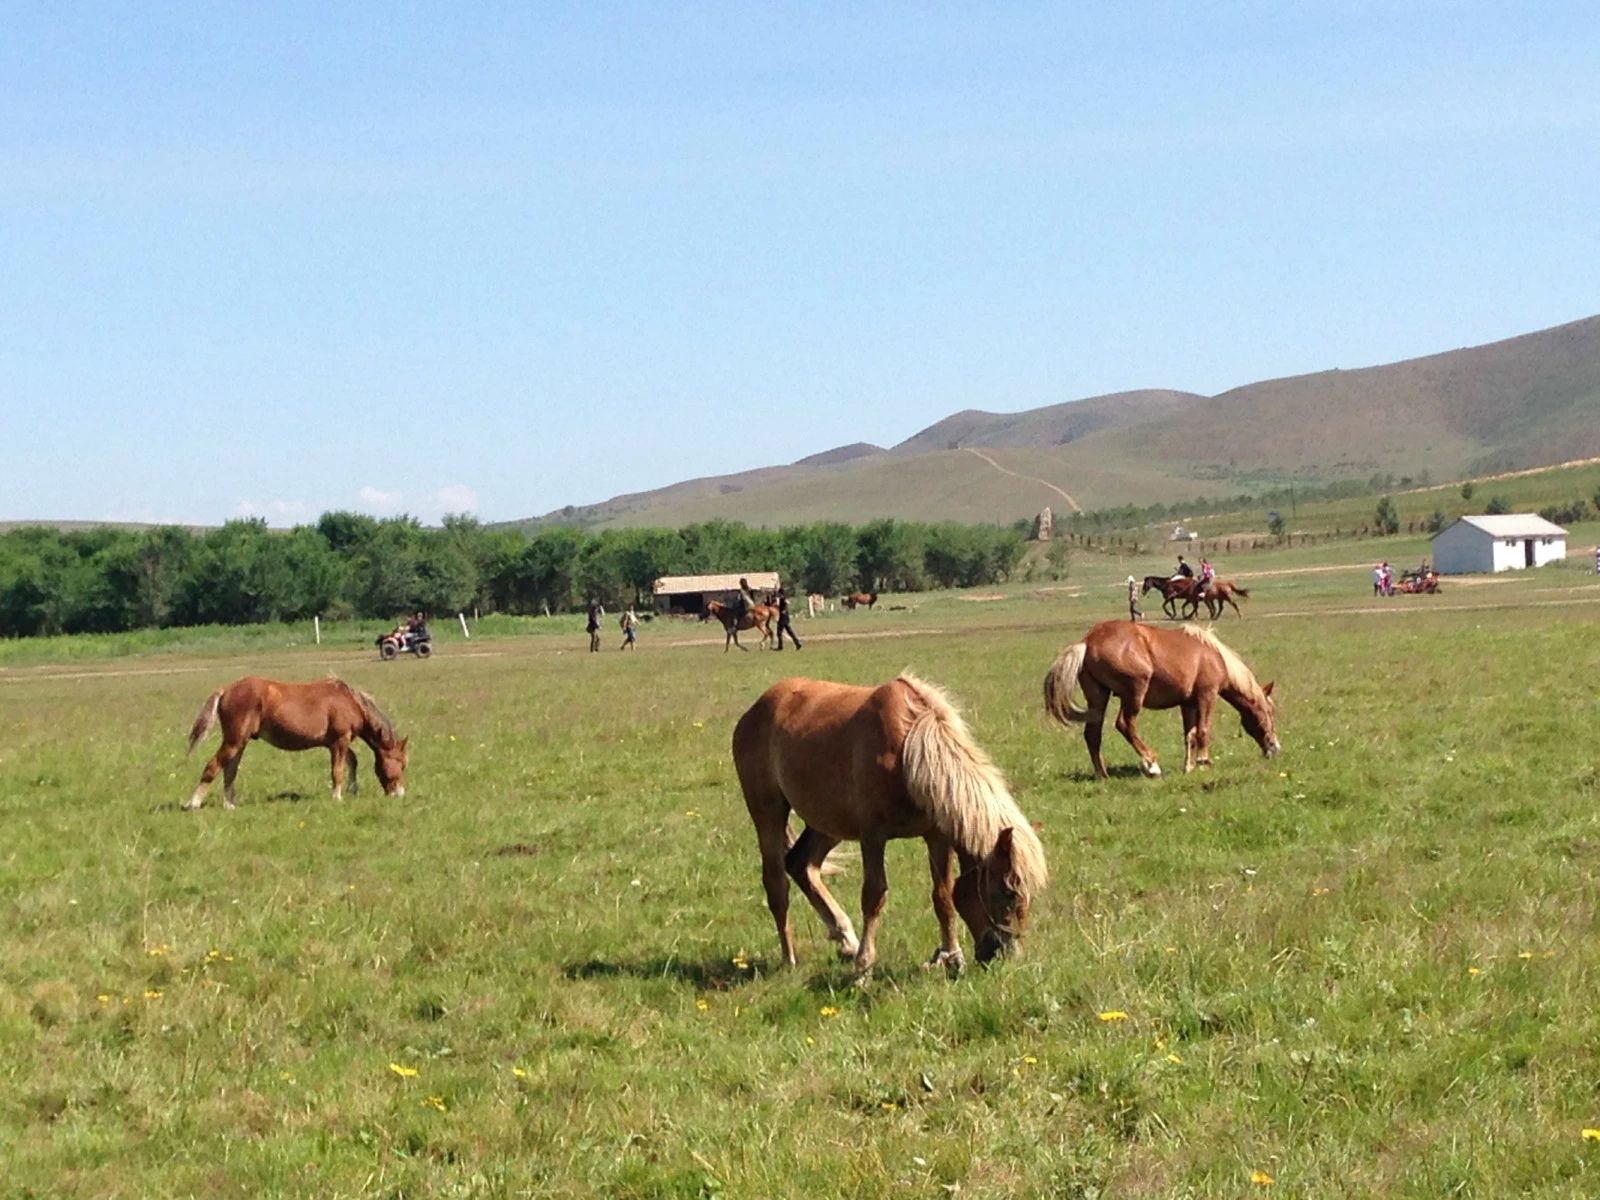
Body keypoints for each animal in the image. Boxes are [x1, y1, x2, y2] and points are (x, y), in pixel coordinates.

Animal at [183, 681, 409, 812]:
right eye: (401, 764)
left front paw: (352, 790)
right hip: (234, 741)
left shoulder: (335, 743)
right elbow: (337, 771)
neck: (349, 701)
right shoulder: (339, 741)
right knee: (213, 766)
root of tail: (225, 691)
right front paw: (337, 796)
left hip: (239, 743)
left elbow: (352, 761)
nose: (400, 794)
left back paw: (229, 804)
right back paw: (194, 803)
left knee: (229, 770)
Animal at [732, 672, 1043, 979]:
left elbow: (943, 897)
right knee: (776, 884)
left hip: (828, 825)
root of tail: (756, 708)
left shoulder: (936, 837)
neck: (908, 751)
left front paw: (952, 957)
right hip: (768, 813)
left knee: (801, 864)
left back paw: (846, 938)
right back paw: (790, 957)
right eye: (1008, 892)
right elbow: (874, 896)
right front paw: (864, 966)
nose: (1005, 956)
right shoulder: (872, 836)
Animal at [1043, 620, 1280, 780]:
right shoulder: (1207, 695)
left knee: (1093, 734)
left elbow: (1190, 735)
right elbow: (1203, 731)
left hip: (1098, 697)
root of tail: (1087, 642)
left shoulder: (1188, 703)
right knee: (1125, 724)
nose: (1275, 747)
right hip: (1134, 693)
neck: (1213, 655)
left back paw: (1102, 775)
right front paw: (1203, 763)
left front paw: (1189, 768)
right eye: (1269, 712)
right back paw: (1152, 765)